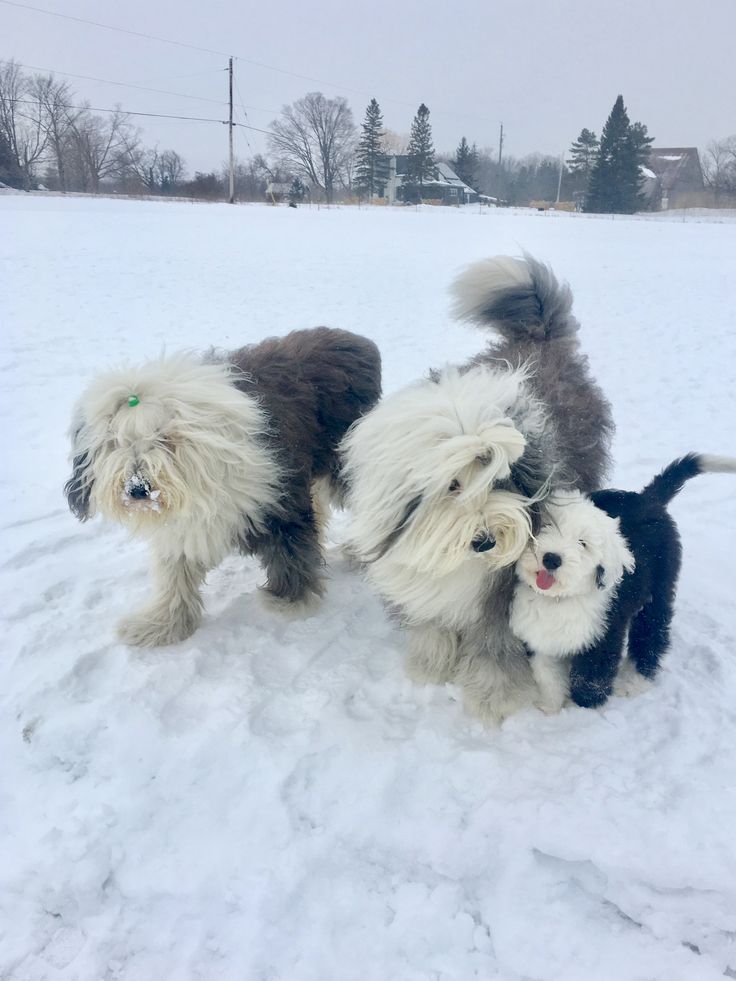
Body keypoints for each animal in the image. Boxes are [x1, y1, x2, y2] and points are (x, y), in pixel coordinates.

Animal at [66, 326, 382, 644]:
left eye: (163, 436)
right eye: (114, 441)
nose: (137, 488)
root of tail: (355, 340)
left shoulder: (277, 499)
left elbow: (290, 549)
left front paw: (290, 601)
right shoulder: (184, 524)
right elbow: (175, 573)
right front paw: (162, 623)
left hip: (341, 459)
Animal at [512, 452, 736, 712]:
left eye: (583, 543)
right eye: (546, 526)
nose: (551, 558)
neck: (559, 599)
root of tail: (648, 499)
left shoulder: (602, 634)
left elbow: (590, 677)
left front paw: (583, 708)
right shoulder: (539, 637)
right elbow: (547, 674)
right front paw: (550, 706)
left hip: (659, 586)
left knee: (652, 631)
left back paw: (634, 680)